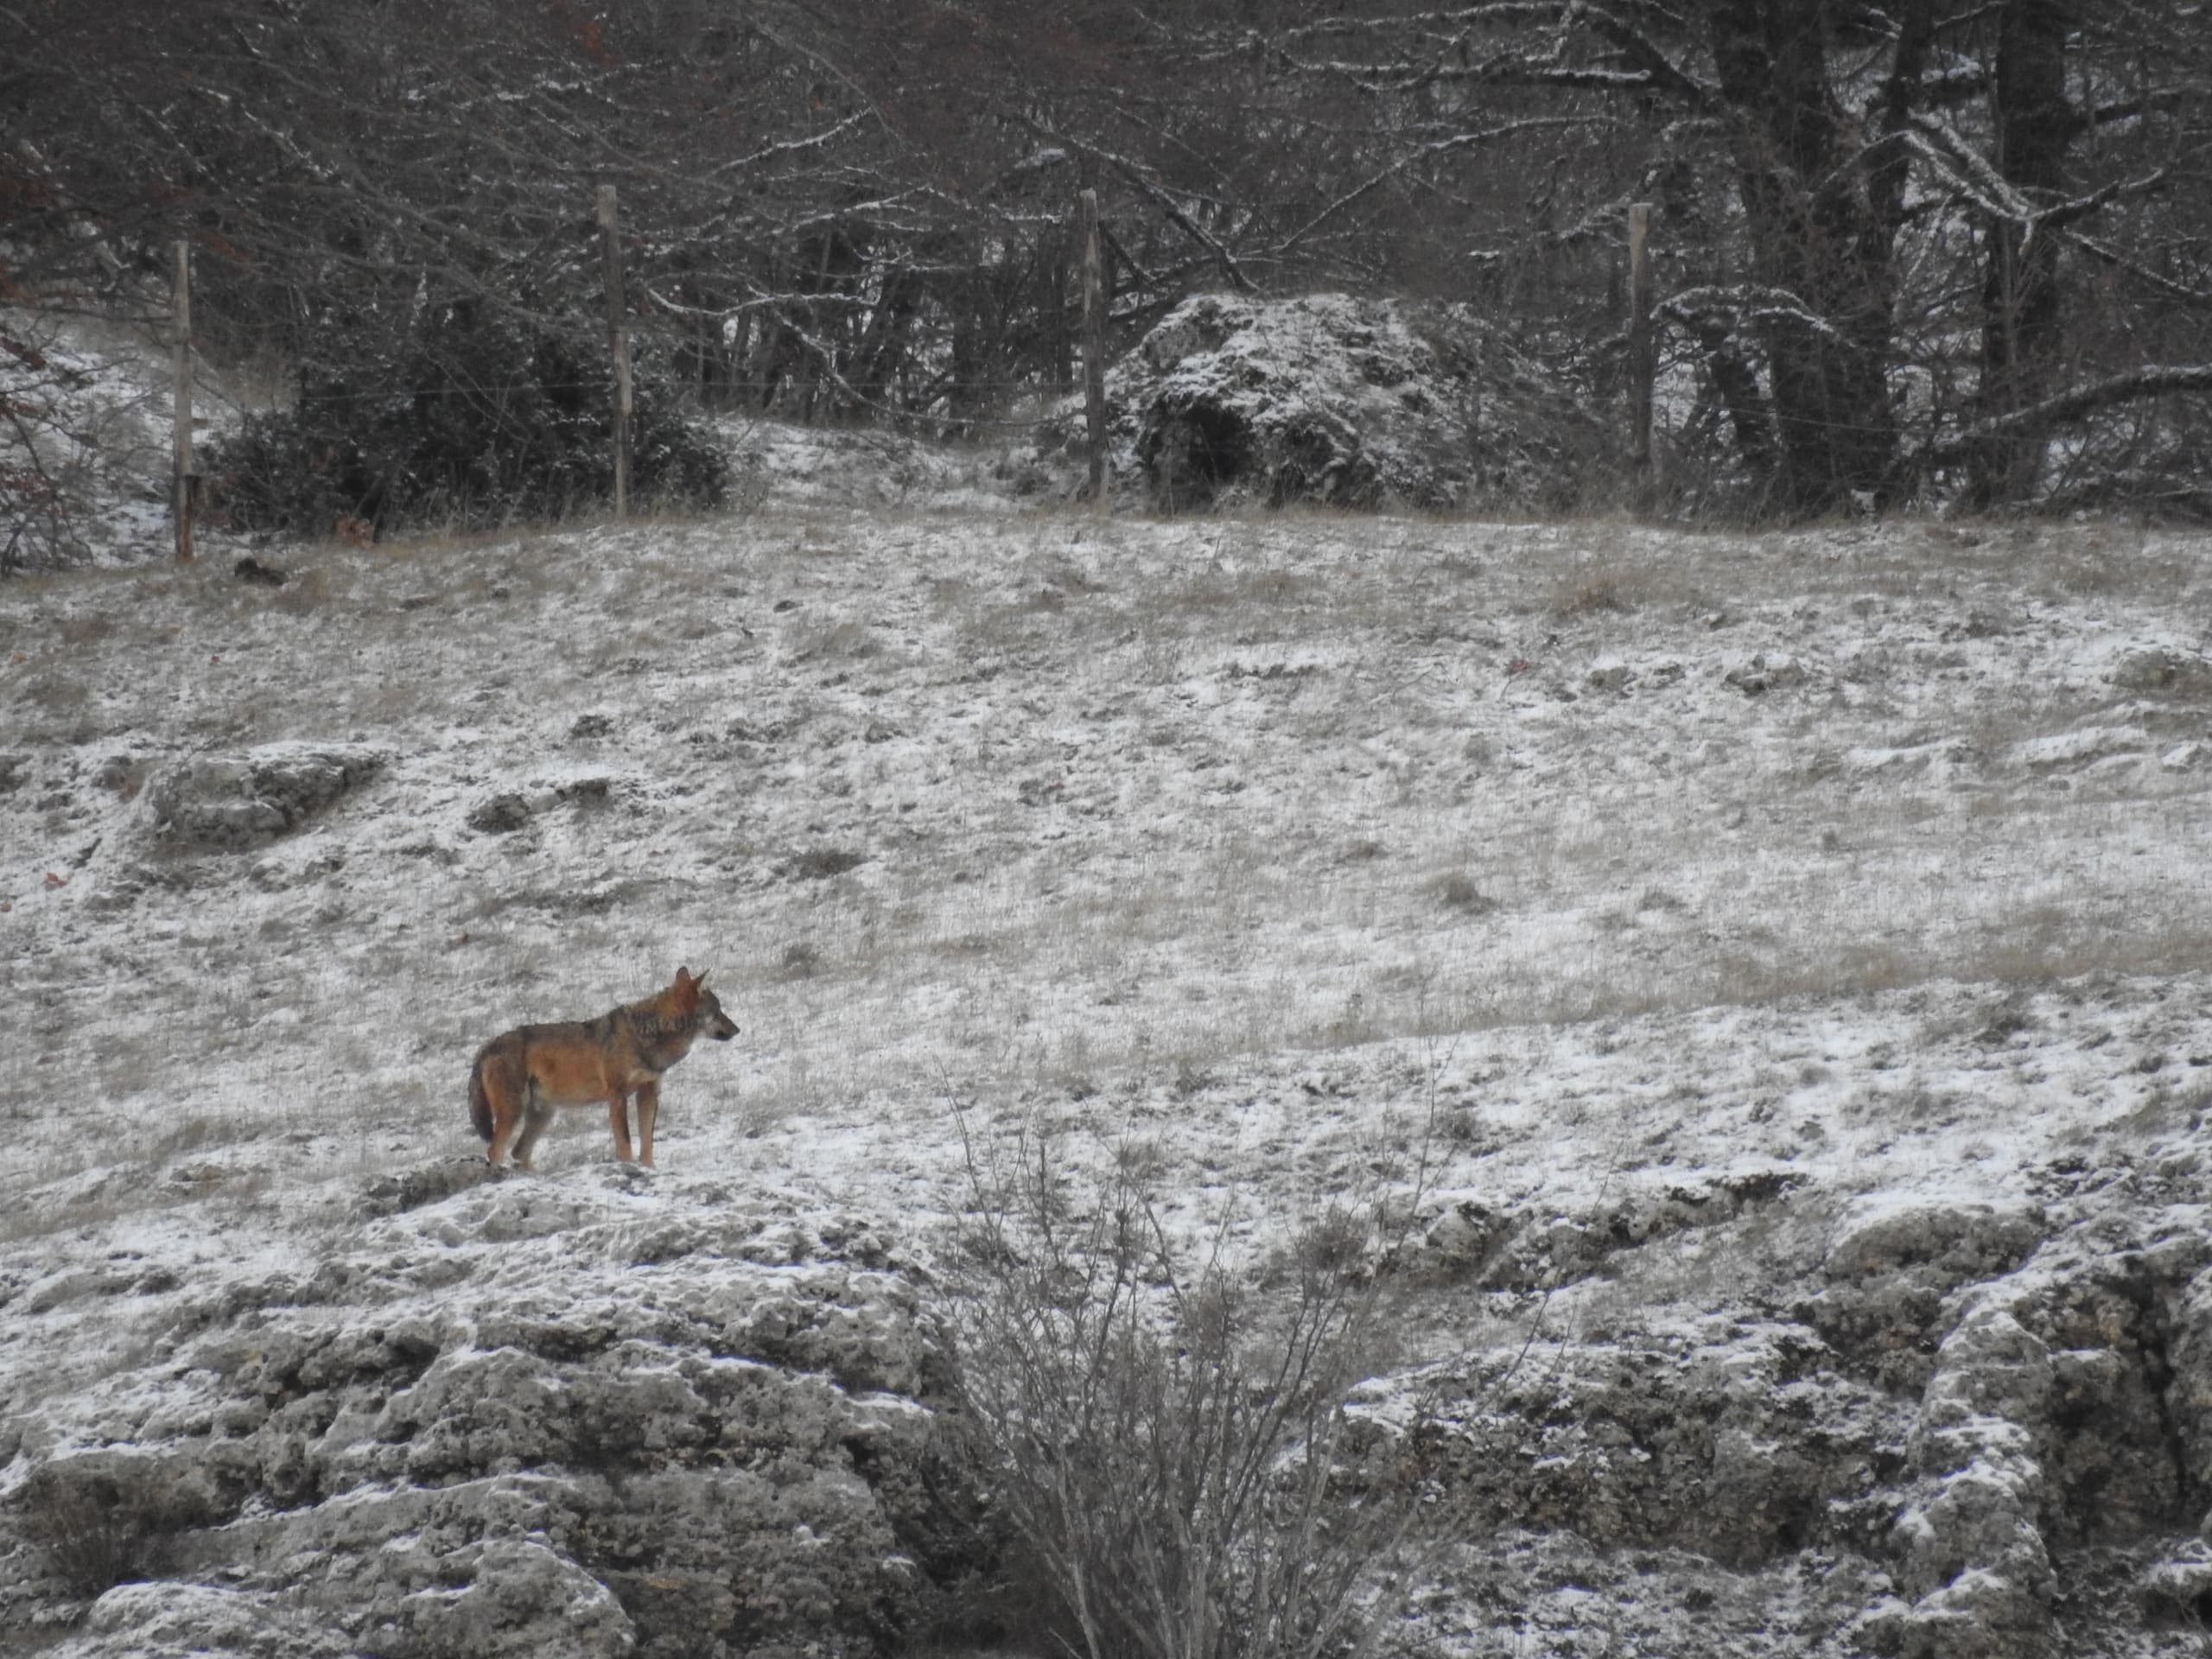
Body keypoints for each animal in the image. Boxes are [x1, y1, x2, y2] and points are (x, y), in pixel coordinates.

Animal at [468, 966, 738, 1169]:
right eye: (717, 1011)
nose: (737, 1029)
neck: (649, 1034)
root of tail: (485, 1047)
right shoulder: (617, 1095)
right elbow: (625, 1141)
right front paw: (628, 1165)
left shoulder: (648, 1093)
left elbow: (647, 1141)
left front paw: (649, 1168)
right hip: (514, 1112)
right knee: (495, 1151)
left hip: (543, 1115)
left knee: (518, 1152)